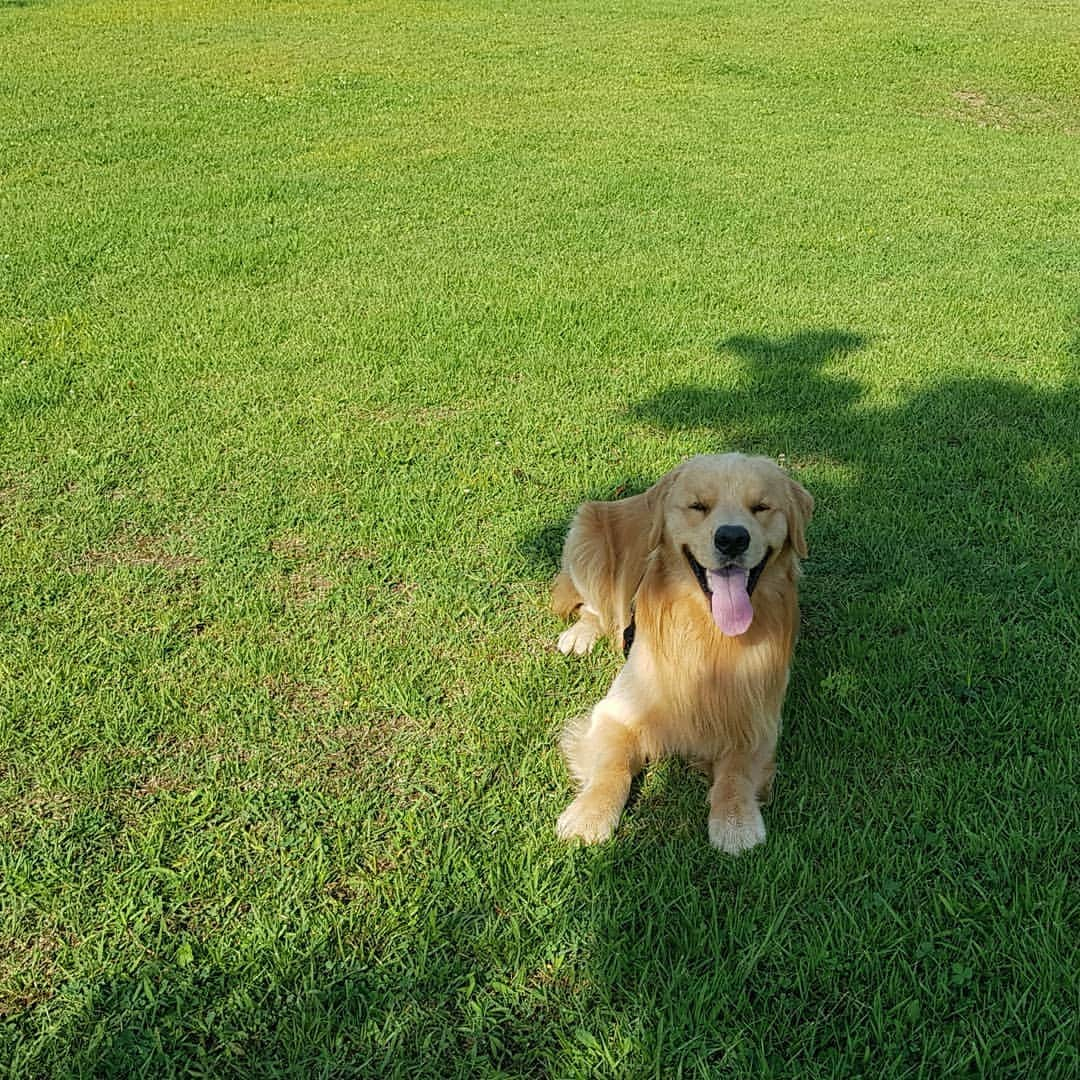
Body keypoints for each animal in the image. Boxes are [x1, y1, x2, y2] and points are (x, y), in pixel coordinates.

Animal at [552, 451, 812, 846]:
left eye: (761, 507)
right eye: (698, 506)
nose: (732, 538)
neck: (710, 634)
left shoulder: (757, 720)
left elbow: (735, 771)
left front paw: (735, 821)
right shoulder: (617, 712)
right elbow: (612, 766)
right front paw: (589, 815)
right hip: (586, 537)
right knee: (595, 608)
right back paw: (580, 635)